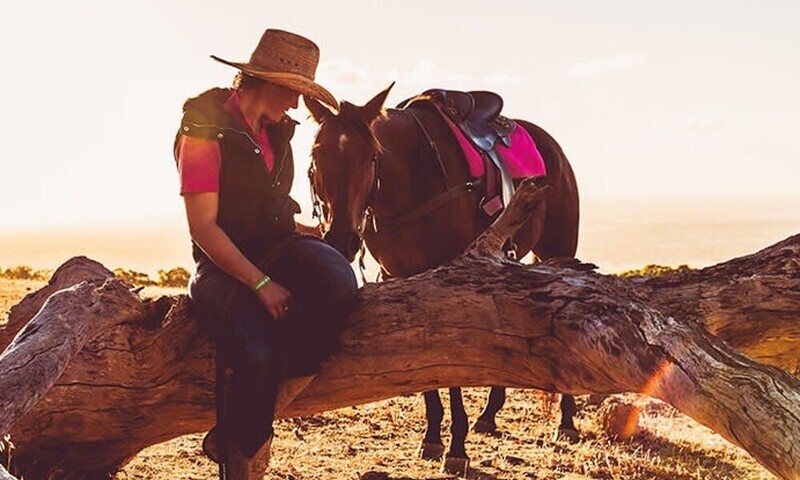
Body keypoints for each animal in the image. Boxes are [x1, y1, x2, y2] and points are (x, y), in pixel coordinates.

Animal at [304, 83, 580, 472]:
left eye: (372, 157)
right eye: (317, 155)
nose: (342, 238)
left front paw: (457, 448)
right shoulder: (401, 278)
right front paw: (433, 437)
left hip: (560, 249)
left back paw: (566, 422)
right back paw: (489, 415)